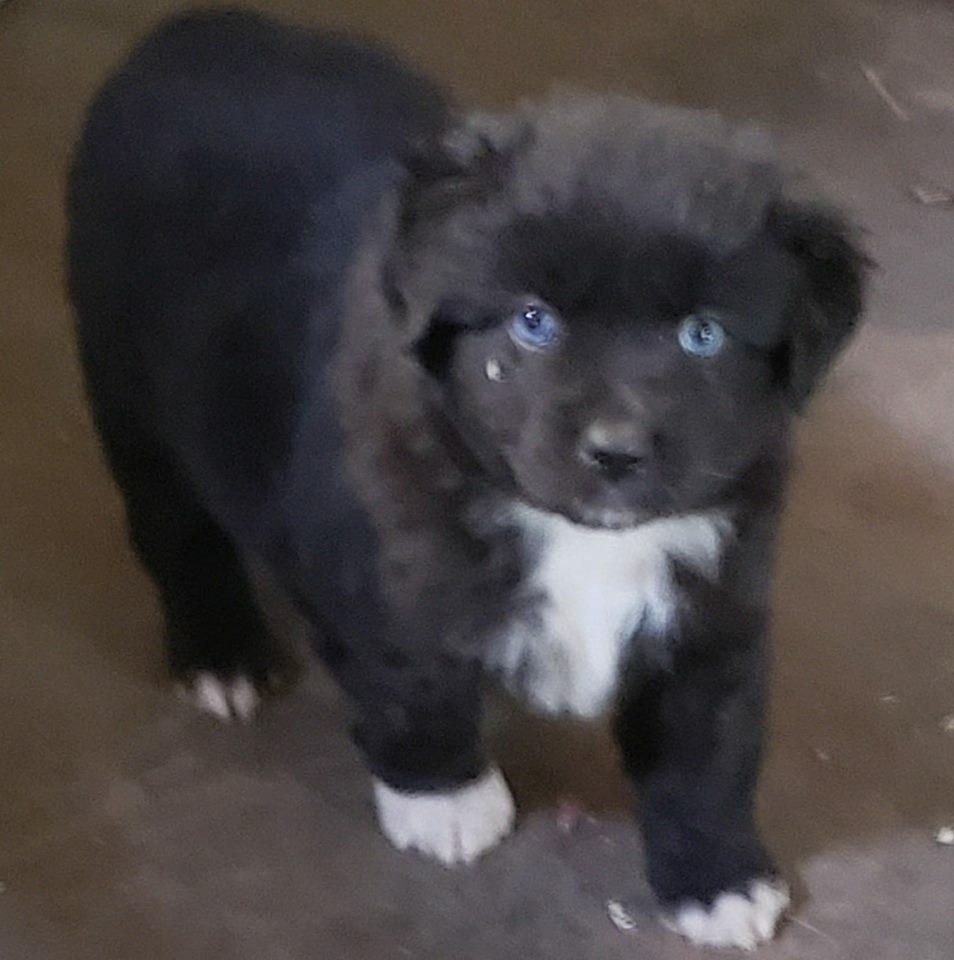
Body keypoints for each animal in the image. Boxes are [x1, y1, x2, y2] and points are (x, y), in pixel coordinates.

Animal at [67, 9, 867, 950]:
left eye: (702, 334)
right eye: (533, 322)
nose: (616, 450)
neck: (574, 530)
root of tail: (193, 26)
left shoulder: (716, 605)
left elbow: (708, 752)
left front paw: (720, 879)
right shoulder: (383, 568)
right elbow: (416, 681)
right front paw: (446, 800)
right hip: (131, 397)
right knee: (176, 533)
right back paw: (222, 654)